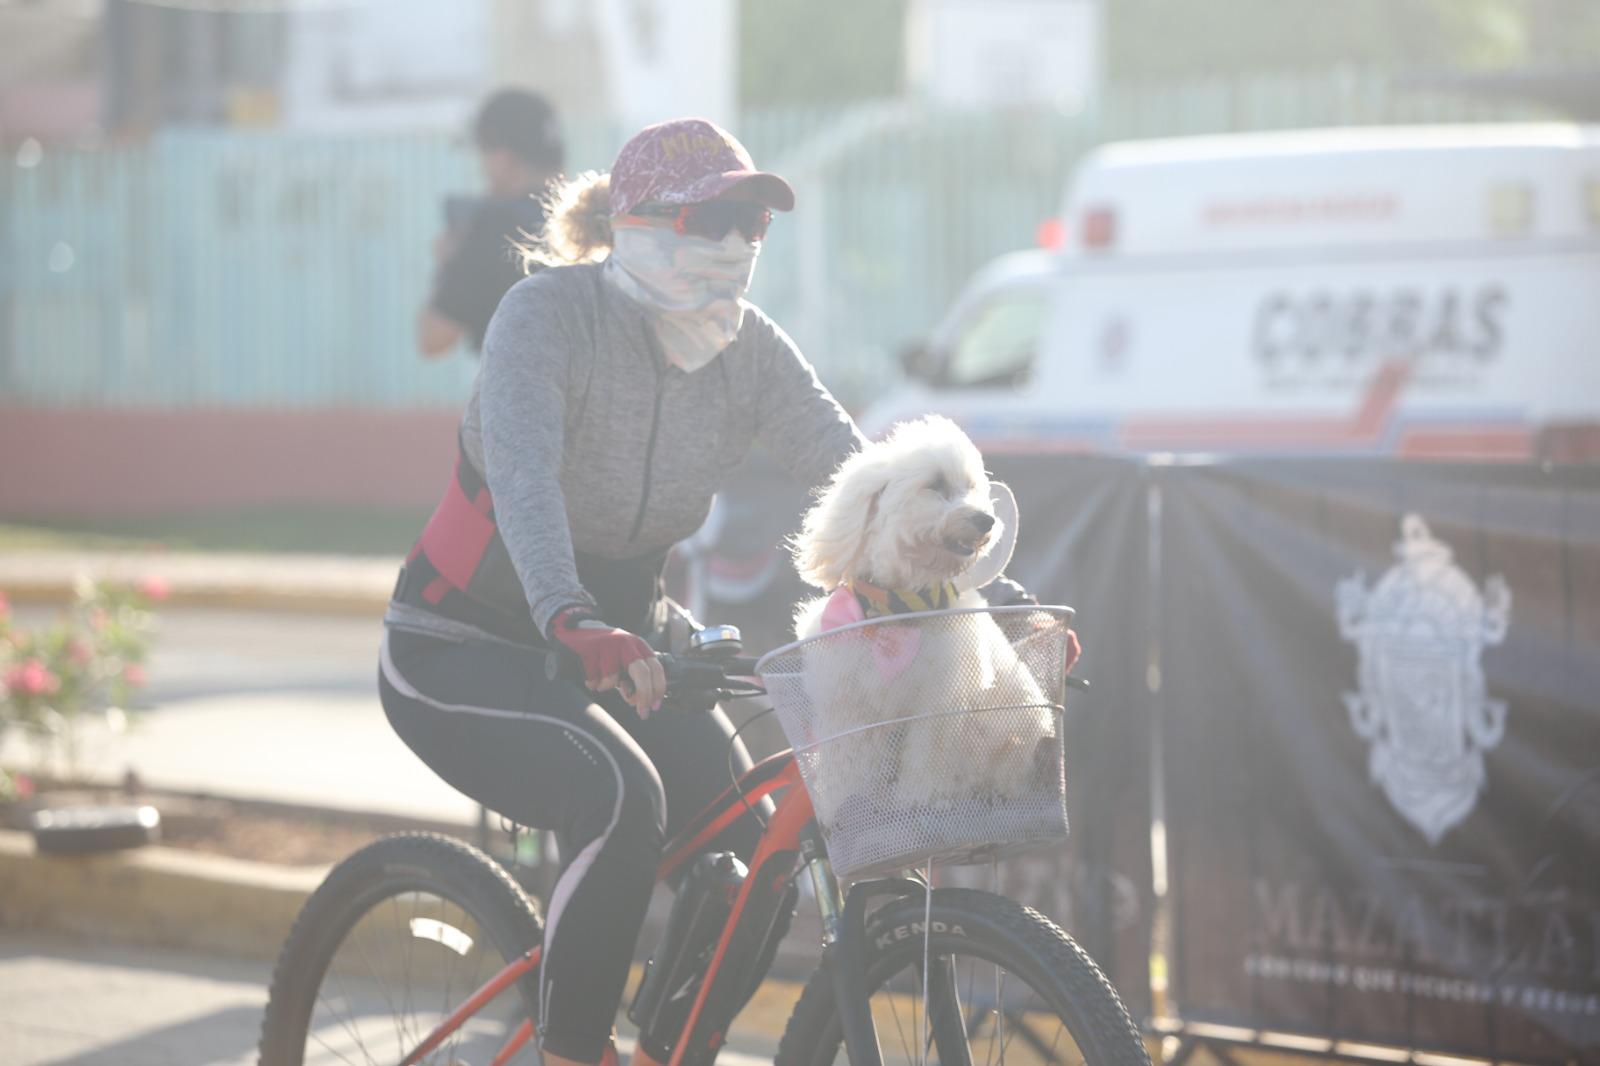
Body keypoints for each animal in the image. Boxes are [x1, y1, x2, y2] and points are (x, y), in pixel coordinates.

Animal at [790, 416, 1062, 832]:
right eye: (935, 484)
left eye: (971, 488)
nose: (986, 520)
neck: (897, 612)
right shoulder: (849, 707)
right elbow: (849, 762)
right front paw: (847, 807)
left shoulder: (937, 706)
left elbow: (926, 757)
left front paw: (919, 801)